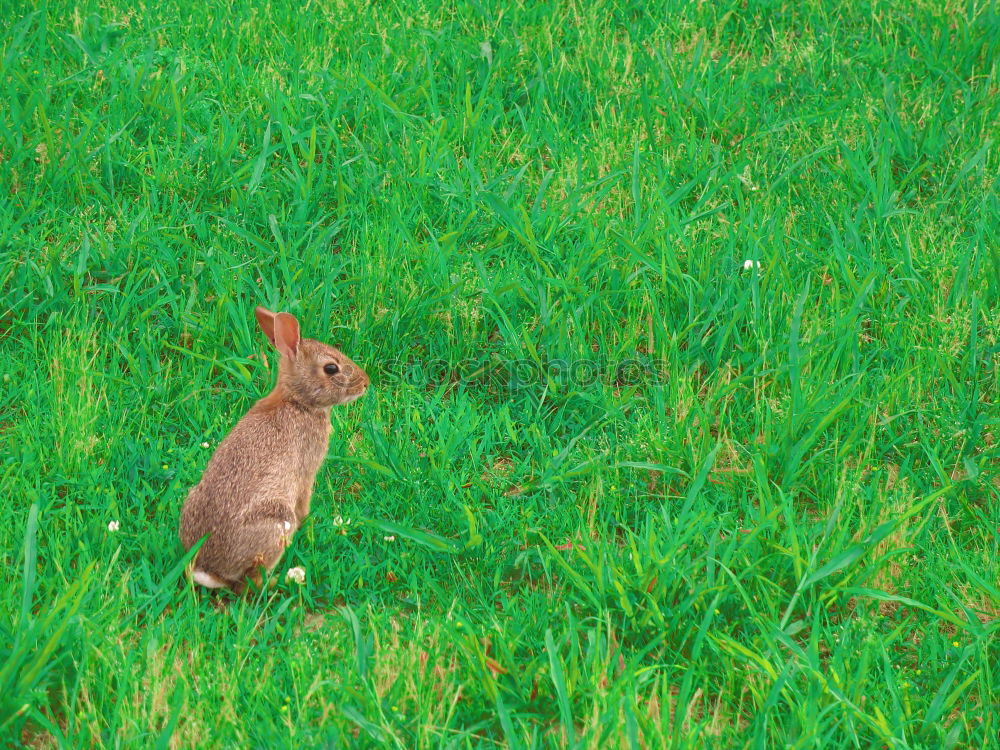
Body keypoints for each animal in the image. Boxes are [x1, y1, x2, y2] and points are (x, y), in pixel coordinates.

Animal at [178, 306, 370, 592]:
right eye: (331, 368)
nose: (365, 383)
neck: (298, 402)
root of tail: (210, 569)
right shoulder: (305, 472)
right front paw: (310, 525)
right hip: (277, 522)